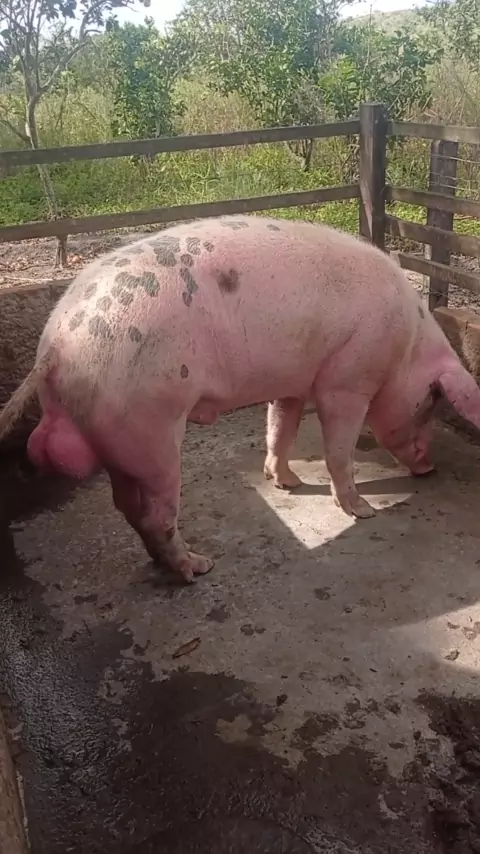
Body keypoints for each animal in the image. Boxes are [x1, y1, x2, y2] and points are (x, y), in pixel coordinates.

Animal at [1, 214, 480, 584]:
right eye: (431, 402)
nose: (429, 468)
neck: (406, 346)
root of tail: (54, 346)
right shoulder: (347, 381)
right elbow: (338, 451)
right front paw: (362, 512)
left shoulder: (292, 384)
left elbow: (280, 428)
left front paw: (286, 482)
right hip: (151, 429)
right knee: (156, 513)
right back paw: (198, 568)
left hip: (117, 439)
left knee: (128, 507)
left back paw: (165, 562)